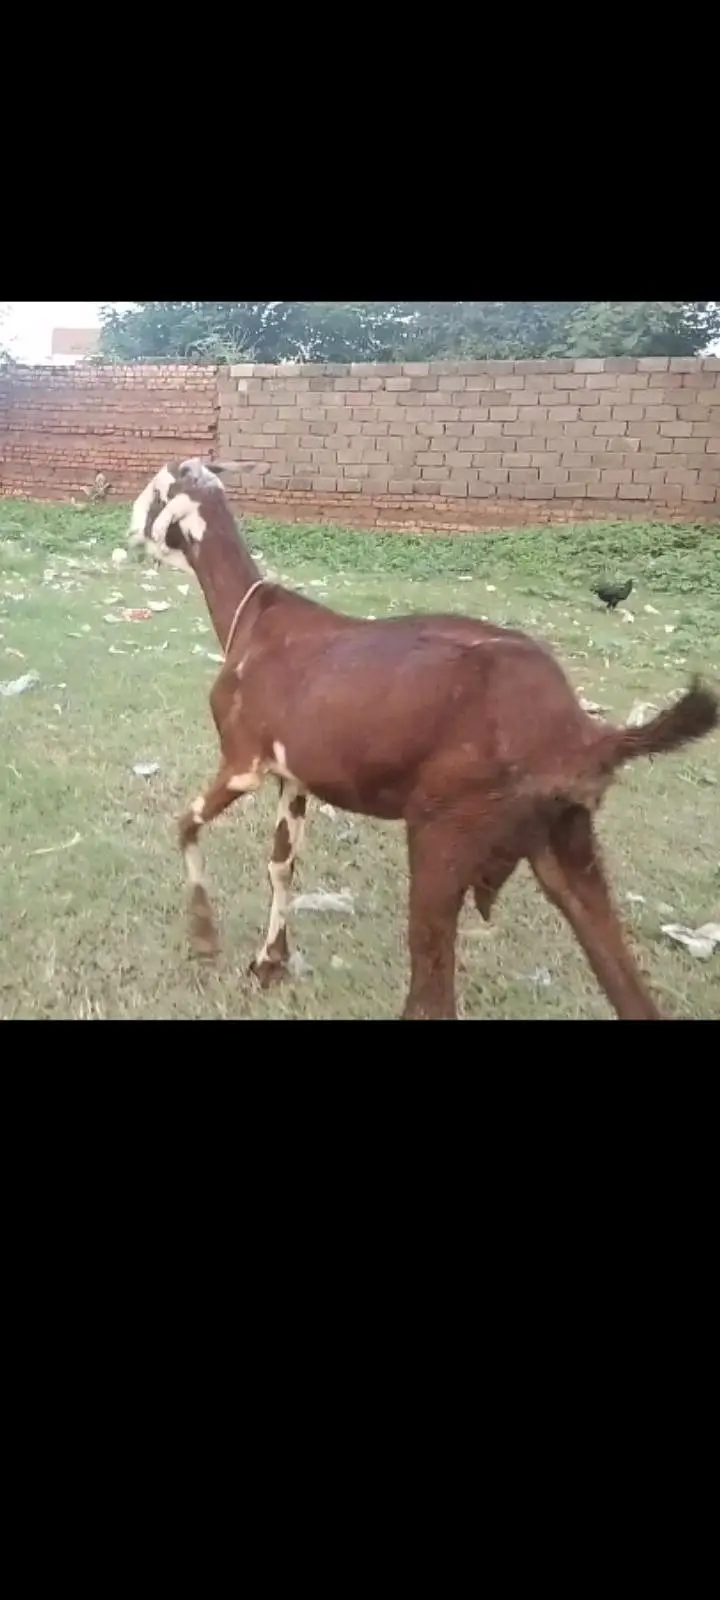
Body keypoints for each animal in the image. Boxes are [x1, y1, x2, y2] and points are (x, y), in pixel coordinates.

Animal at [128, 458, 718, 1020]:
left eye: (158, 489)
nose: (131, 530)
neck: (251, 617)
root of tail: (582, 734)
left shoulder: (243, 759)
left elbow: (185, 824)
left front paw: (205, 937)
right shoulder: (294, 779)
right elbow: (281, 866)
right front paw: (270, 961)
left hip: (445, 829)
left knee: (430, 992)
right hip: (565, 843)